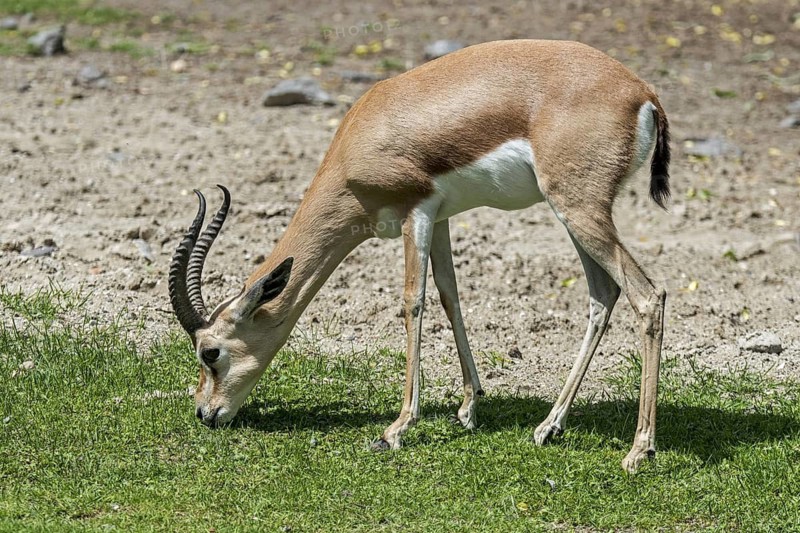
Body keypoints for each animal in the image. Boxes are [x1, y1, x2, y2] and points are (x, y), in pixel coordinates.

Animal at [169, 39, 670, 472]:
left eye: (210, 352)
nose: (205, 413)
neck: (361, 140)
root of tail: (642, 92)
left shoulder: (417, 212)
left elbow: (413, 302)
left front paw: (395, 429)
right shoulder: (443, 218)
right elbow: (450, 297)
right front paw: (468, 409)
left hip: (577, 207)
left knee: (648, 295)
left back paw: (638, 450)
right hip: (573, 213)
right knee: (603, 294)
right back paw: (549, 426)